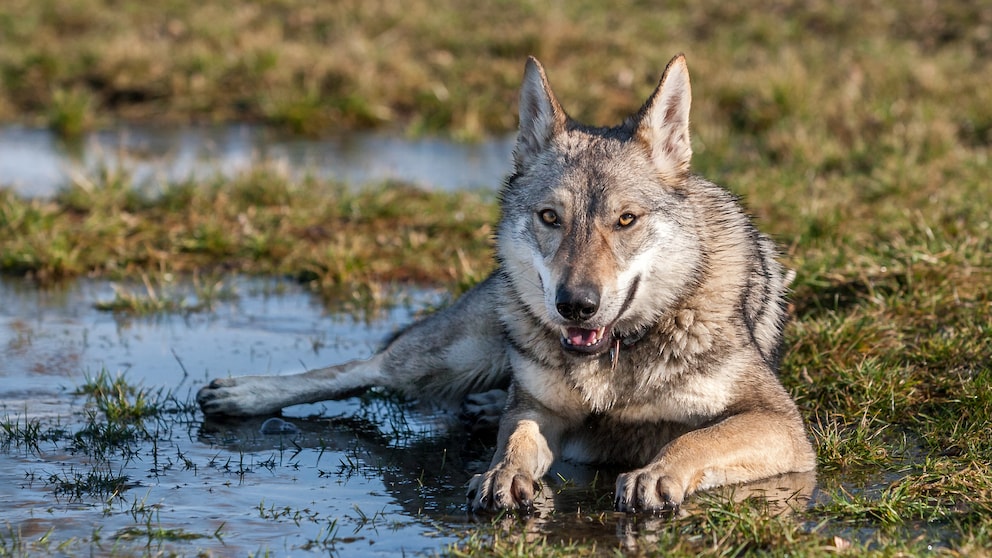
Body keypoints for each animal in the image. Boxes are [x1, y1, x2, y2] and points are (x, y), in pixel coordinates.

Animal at [198, 54, 816, 516]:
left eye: (625, 220)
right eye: (550, 218)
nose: (575, 306)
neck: (616, 361)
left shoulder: (781, 424)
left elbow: (694, 438)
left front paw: (654, 473)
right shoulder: (540, 410)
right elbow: (515, 440)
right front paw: (500, 474)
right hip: (450, 355)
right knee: (361, 368)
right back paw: (241, 394)